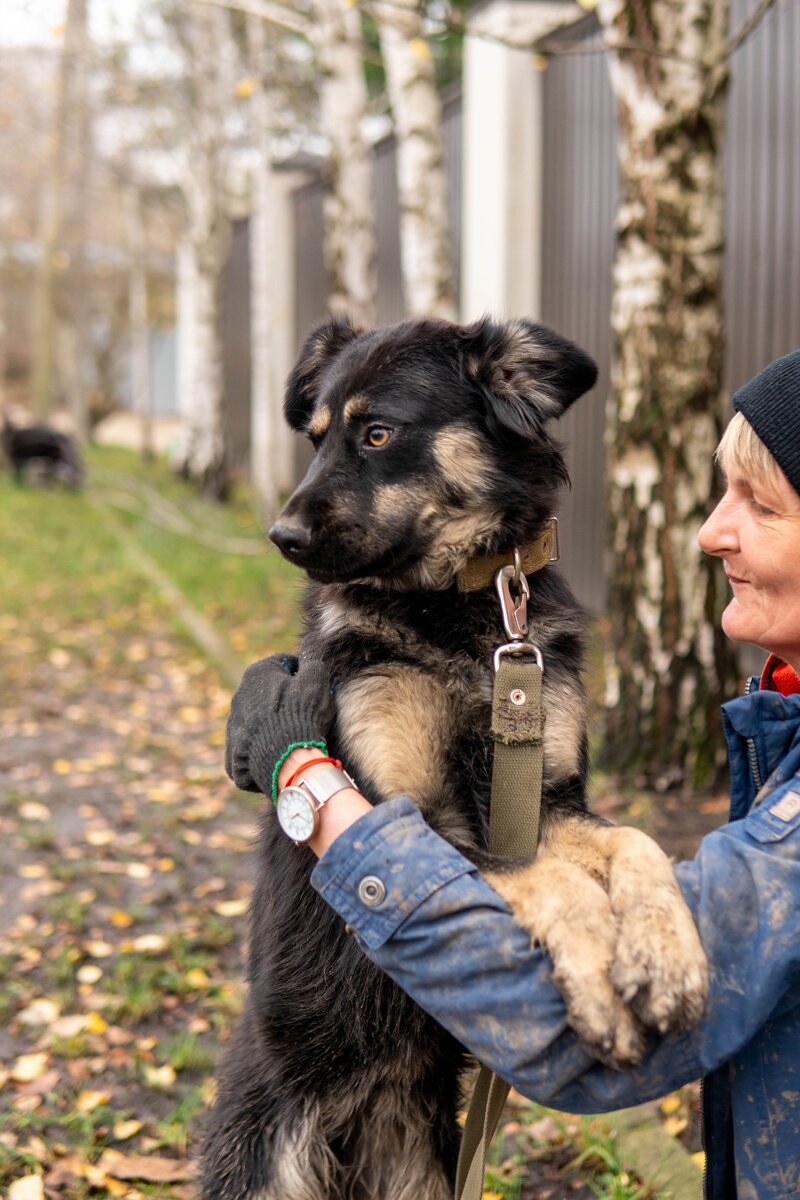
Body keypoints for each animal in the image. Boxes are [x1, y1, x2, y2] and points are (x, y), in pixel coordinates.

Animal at [203, 316, 710, 1200]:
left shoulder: (552, 798)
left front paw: (664, 954)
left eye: (377, 433)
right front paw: (599, 982)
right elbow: (548, 880)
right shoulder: (413, 816)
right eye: (315, 436)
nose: (281, 538)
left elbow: (633, 842)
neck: (456, 607)